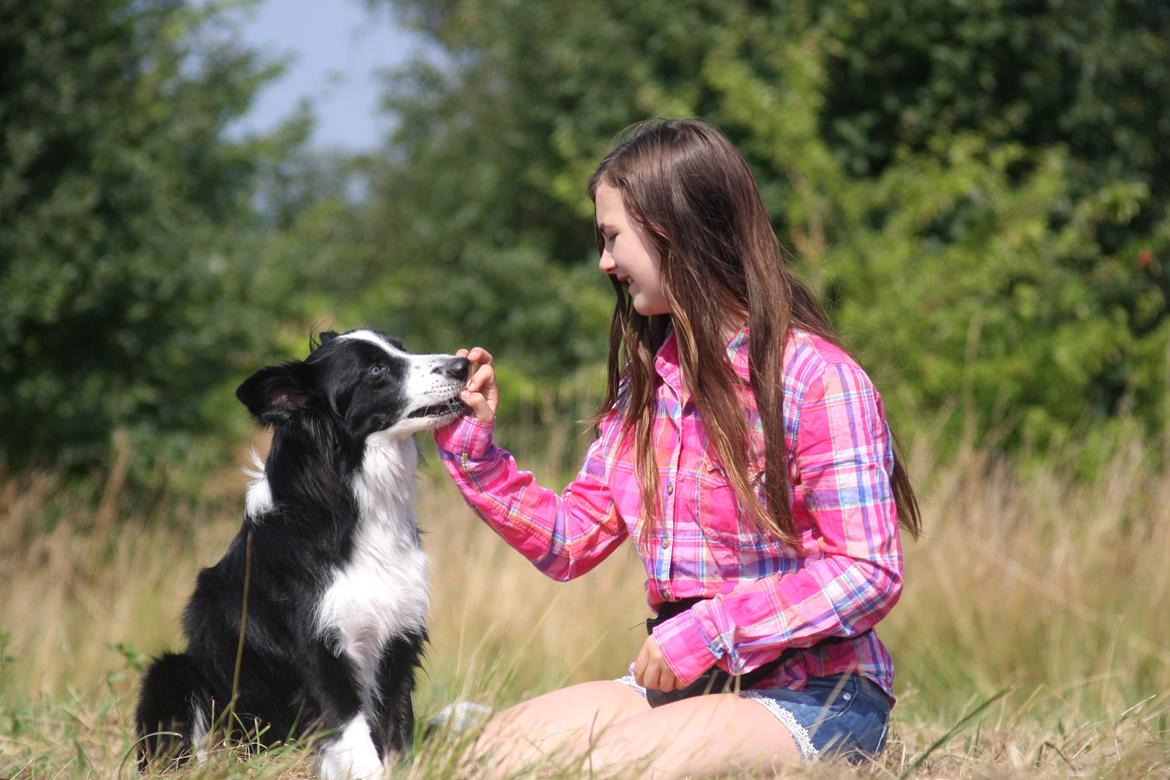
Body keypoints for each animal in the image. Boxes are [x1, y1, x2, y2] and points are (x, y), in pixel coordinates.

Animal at [135, 327, 465, 776]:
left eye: (402, 348)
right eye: (375, 370)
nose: (463, 365)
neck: (349, 505)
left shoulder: (399, 644)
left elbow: (397, 732)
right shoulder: (319, 655)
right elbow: (355, 736)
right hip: (175, 670)